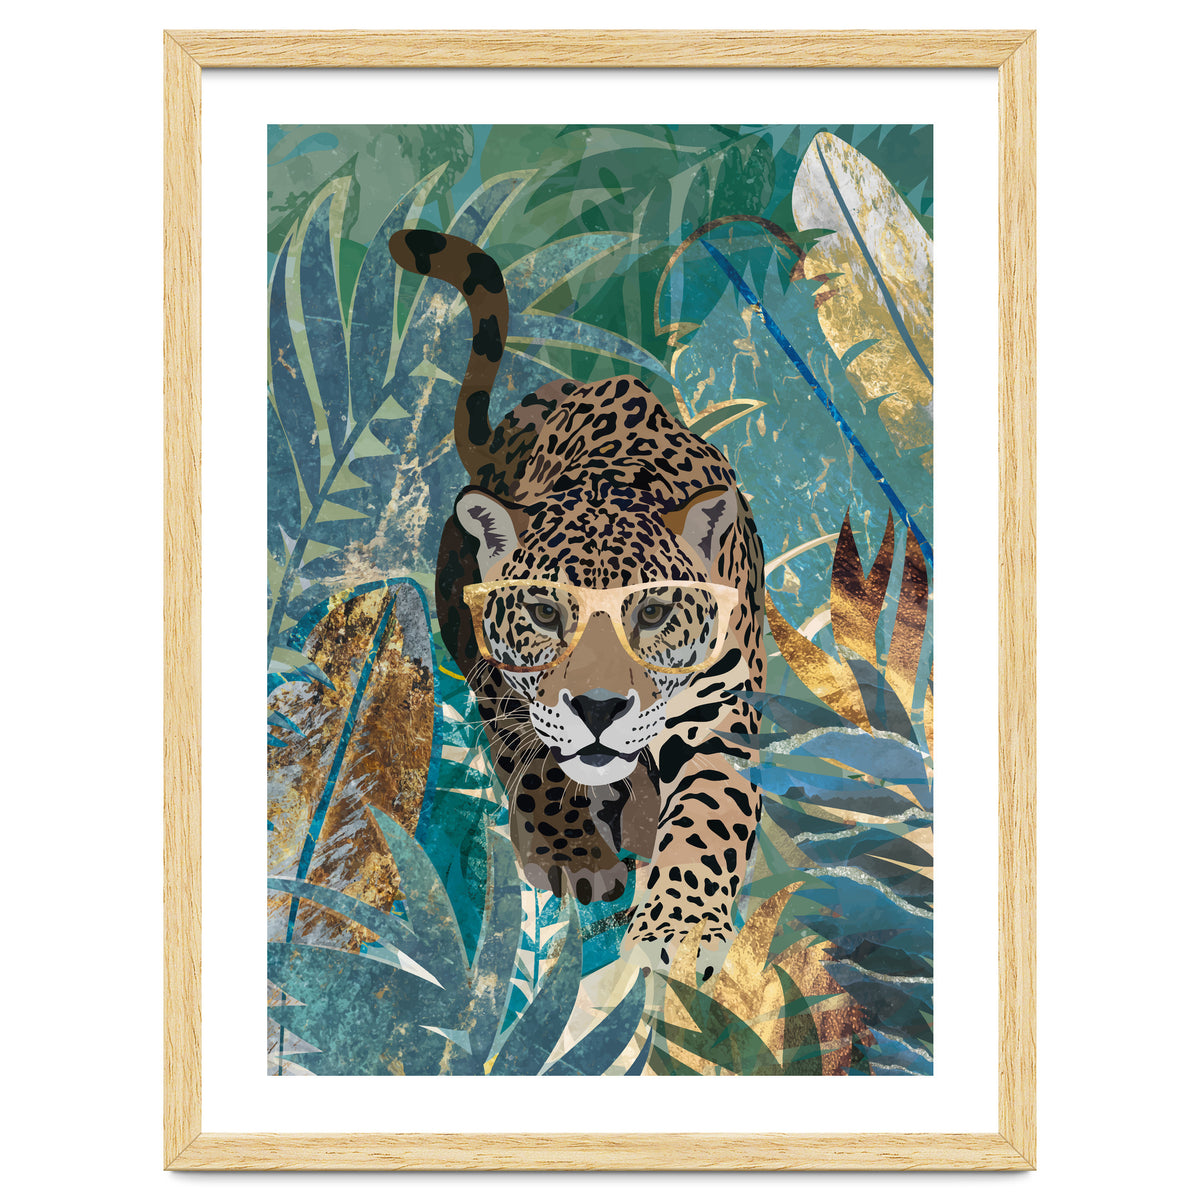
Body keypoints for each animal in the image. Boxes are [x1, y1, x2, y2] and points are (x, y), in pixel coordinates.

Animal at [389, 228, 765, 979]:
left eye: (651, 613)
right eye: (543, 613)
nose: (597, 709)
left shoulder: (720, 714)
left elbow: (710, 813)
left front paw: (678, 928)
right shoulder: (501, 679)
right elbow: (534, 760)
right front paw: (572, 854)